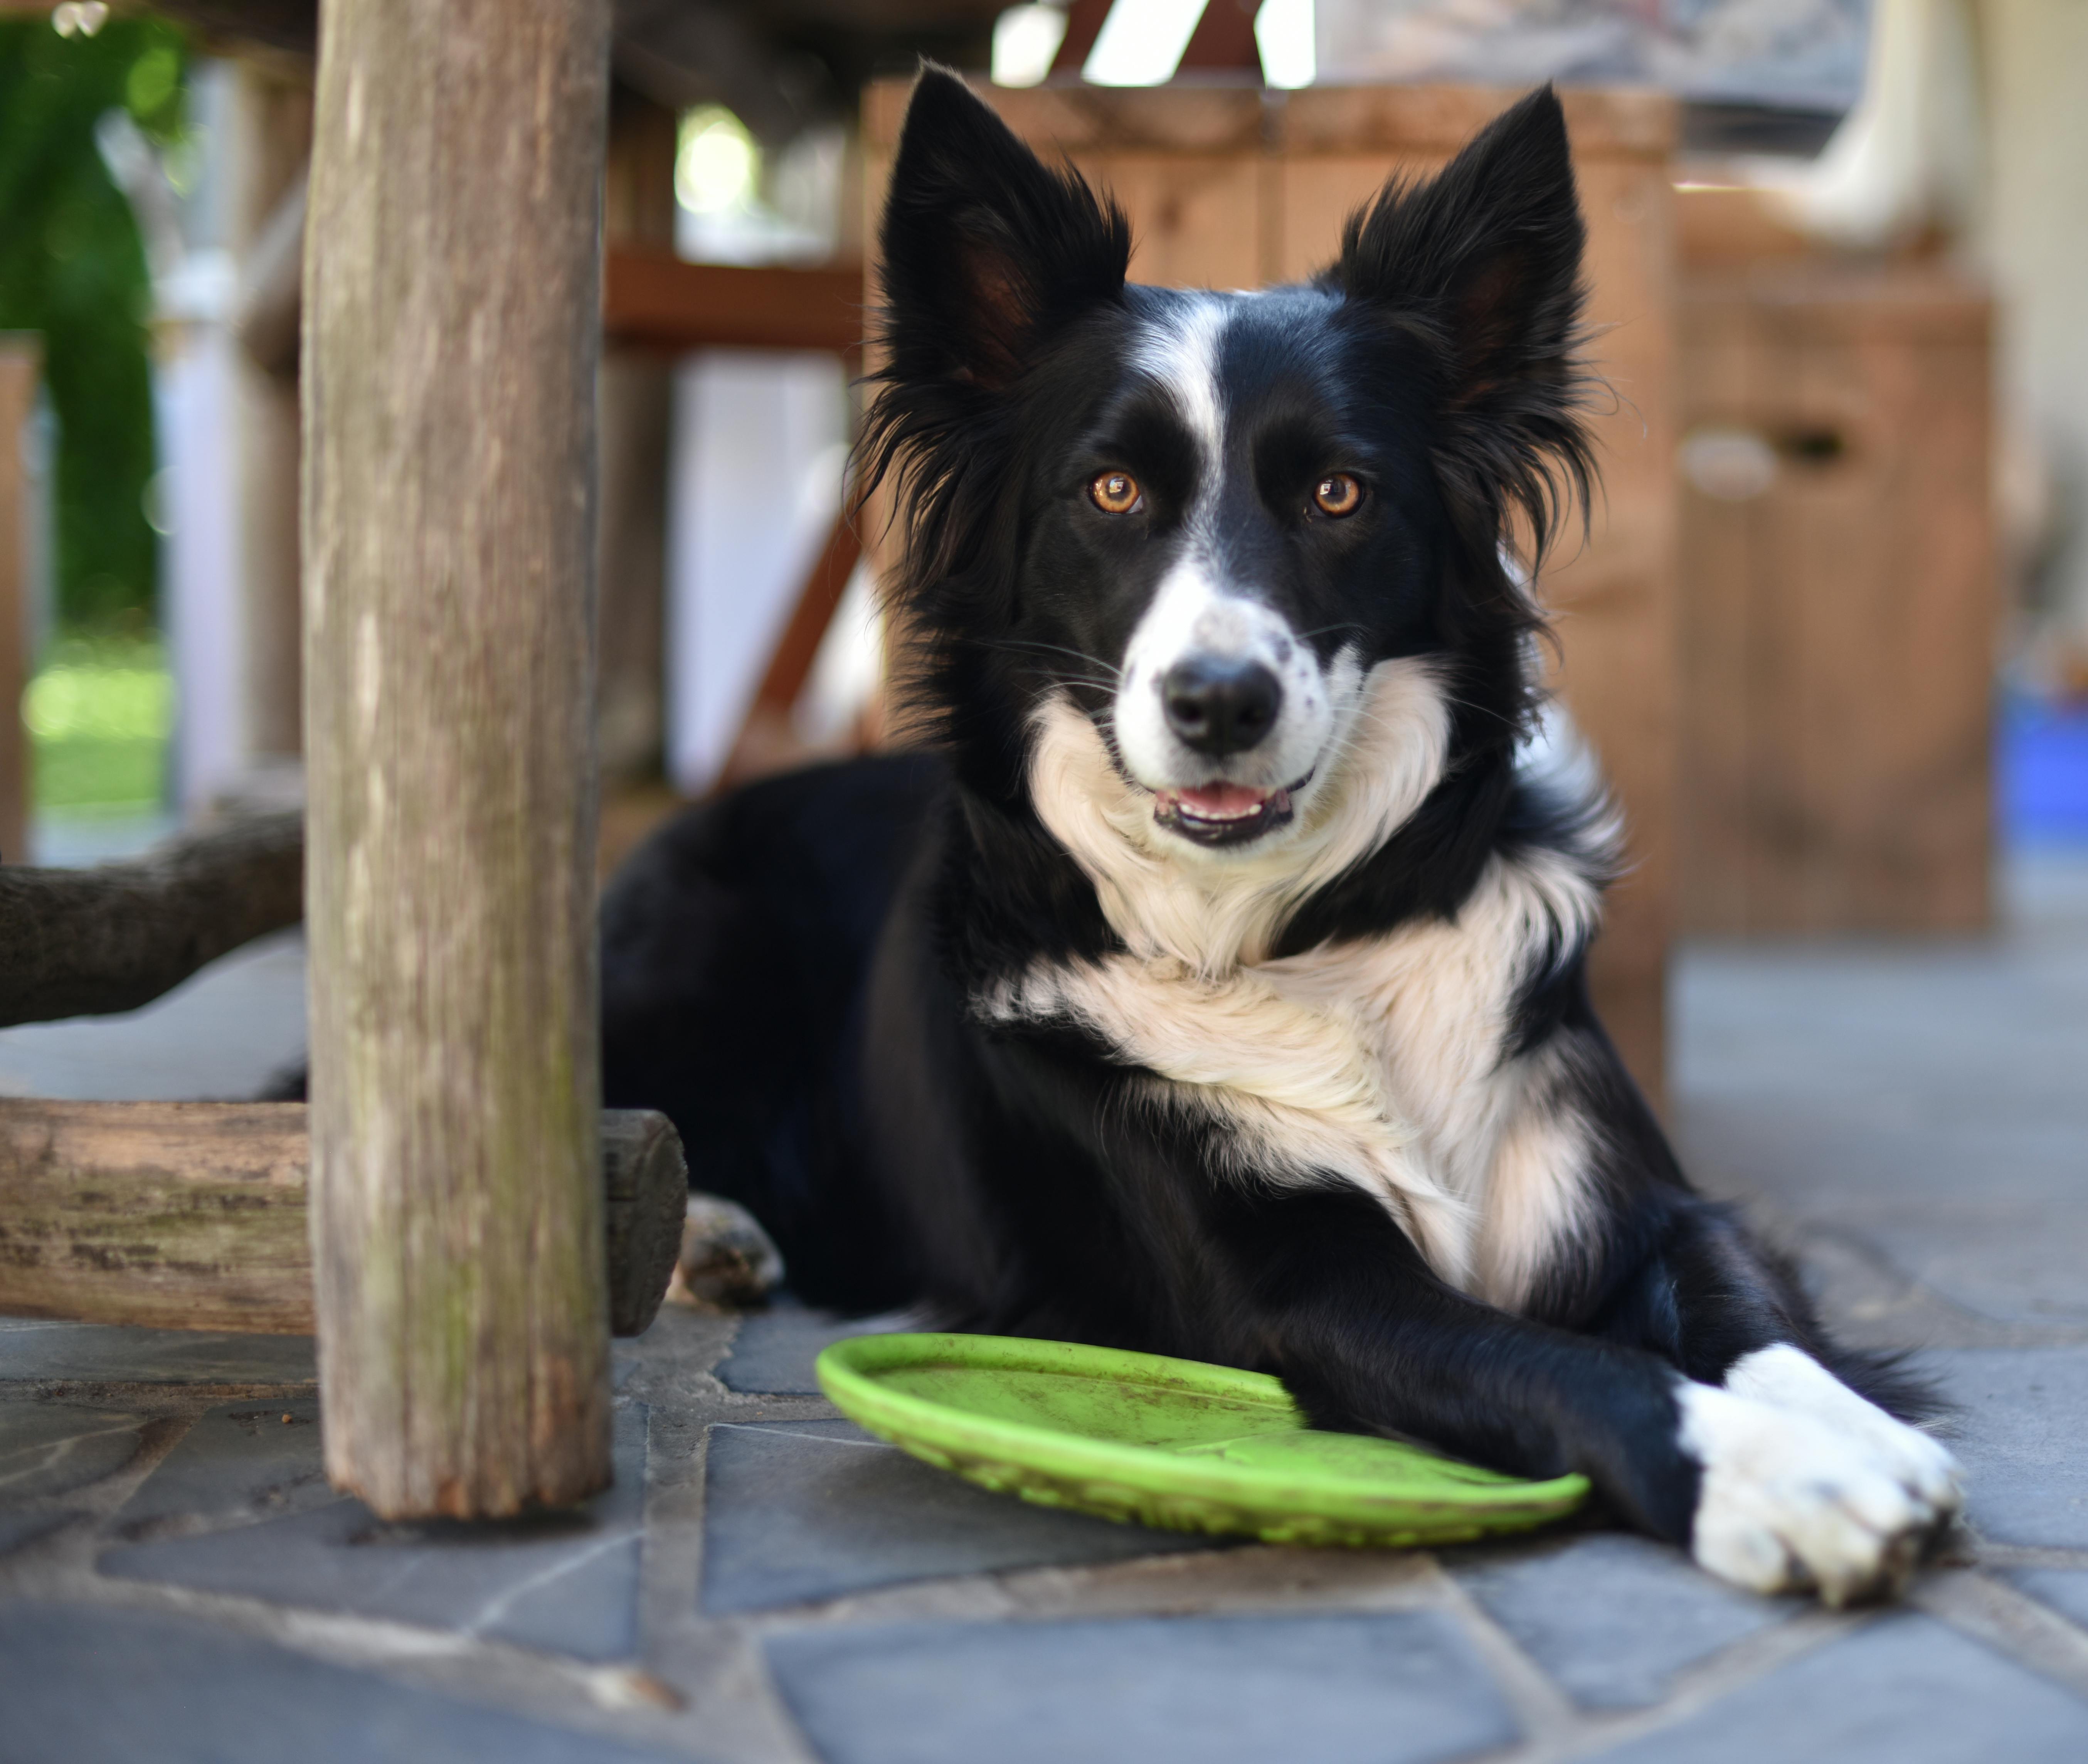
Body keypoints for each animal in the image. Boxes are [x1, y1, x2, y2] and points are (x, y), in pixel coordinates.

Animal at [601, 69, 1954, 1603]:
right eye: (1109, 491)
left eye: (1336, 493)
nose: (1217, 702)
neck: (1315, 937)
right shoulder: (1299, 1289)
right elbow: (1575, 1365)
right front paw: (1781, 1478)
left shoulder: (1630, 1197)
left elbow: (1743, 1304)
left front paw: (1840, 1426)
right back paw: (696, 1223)